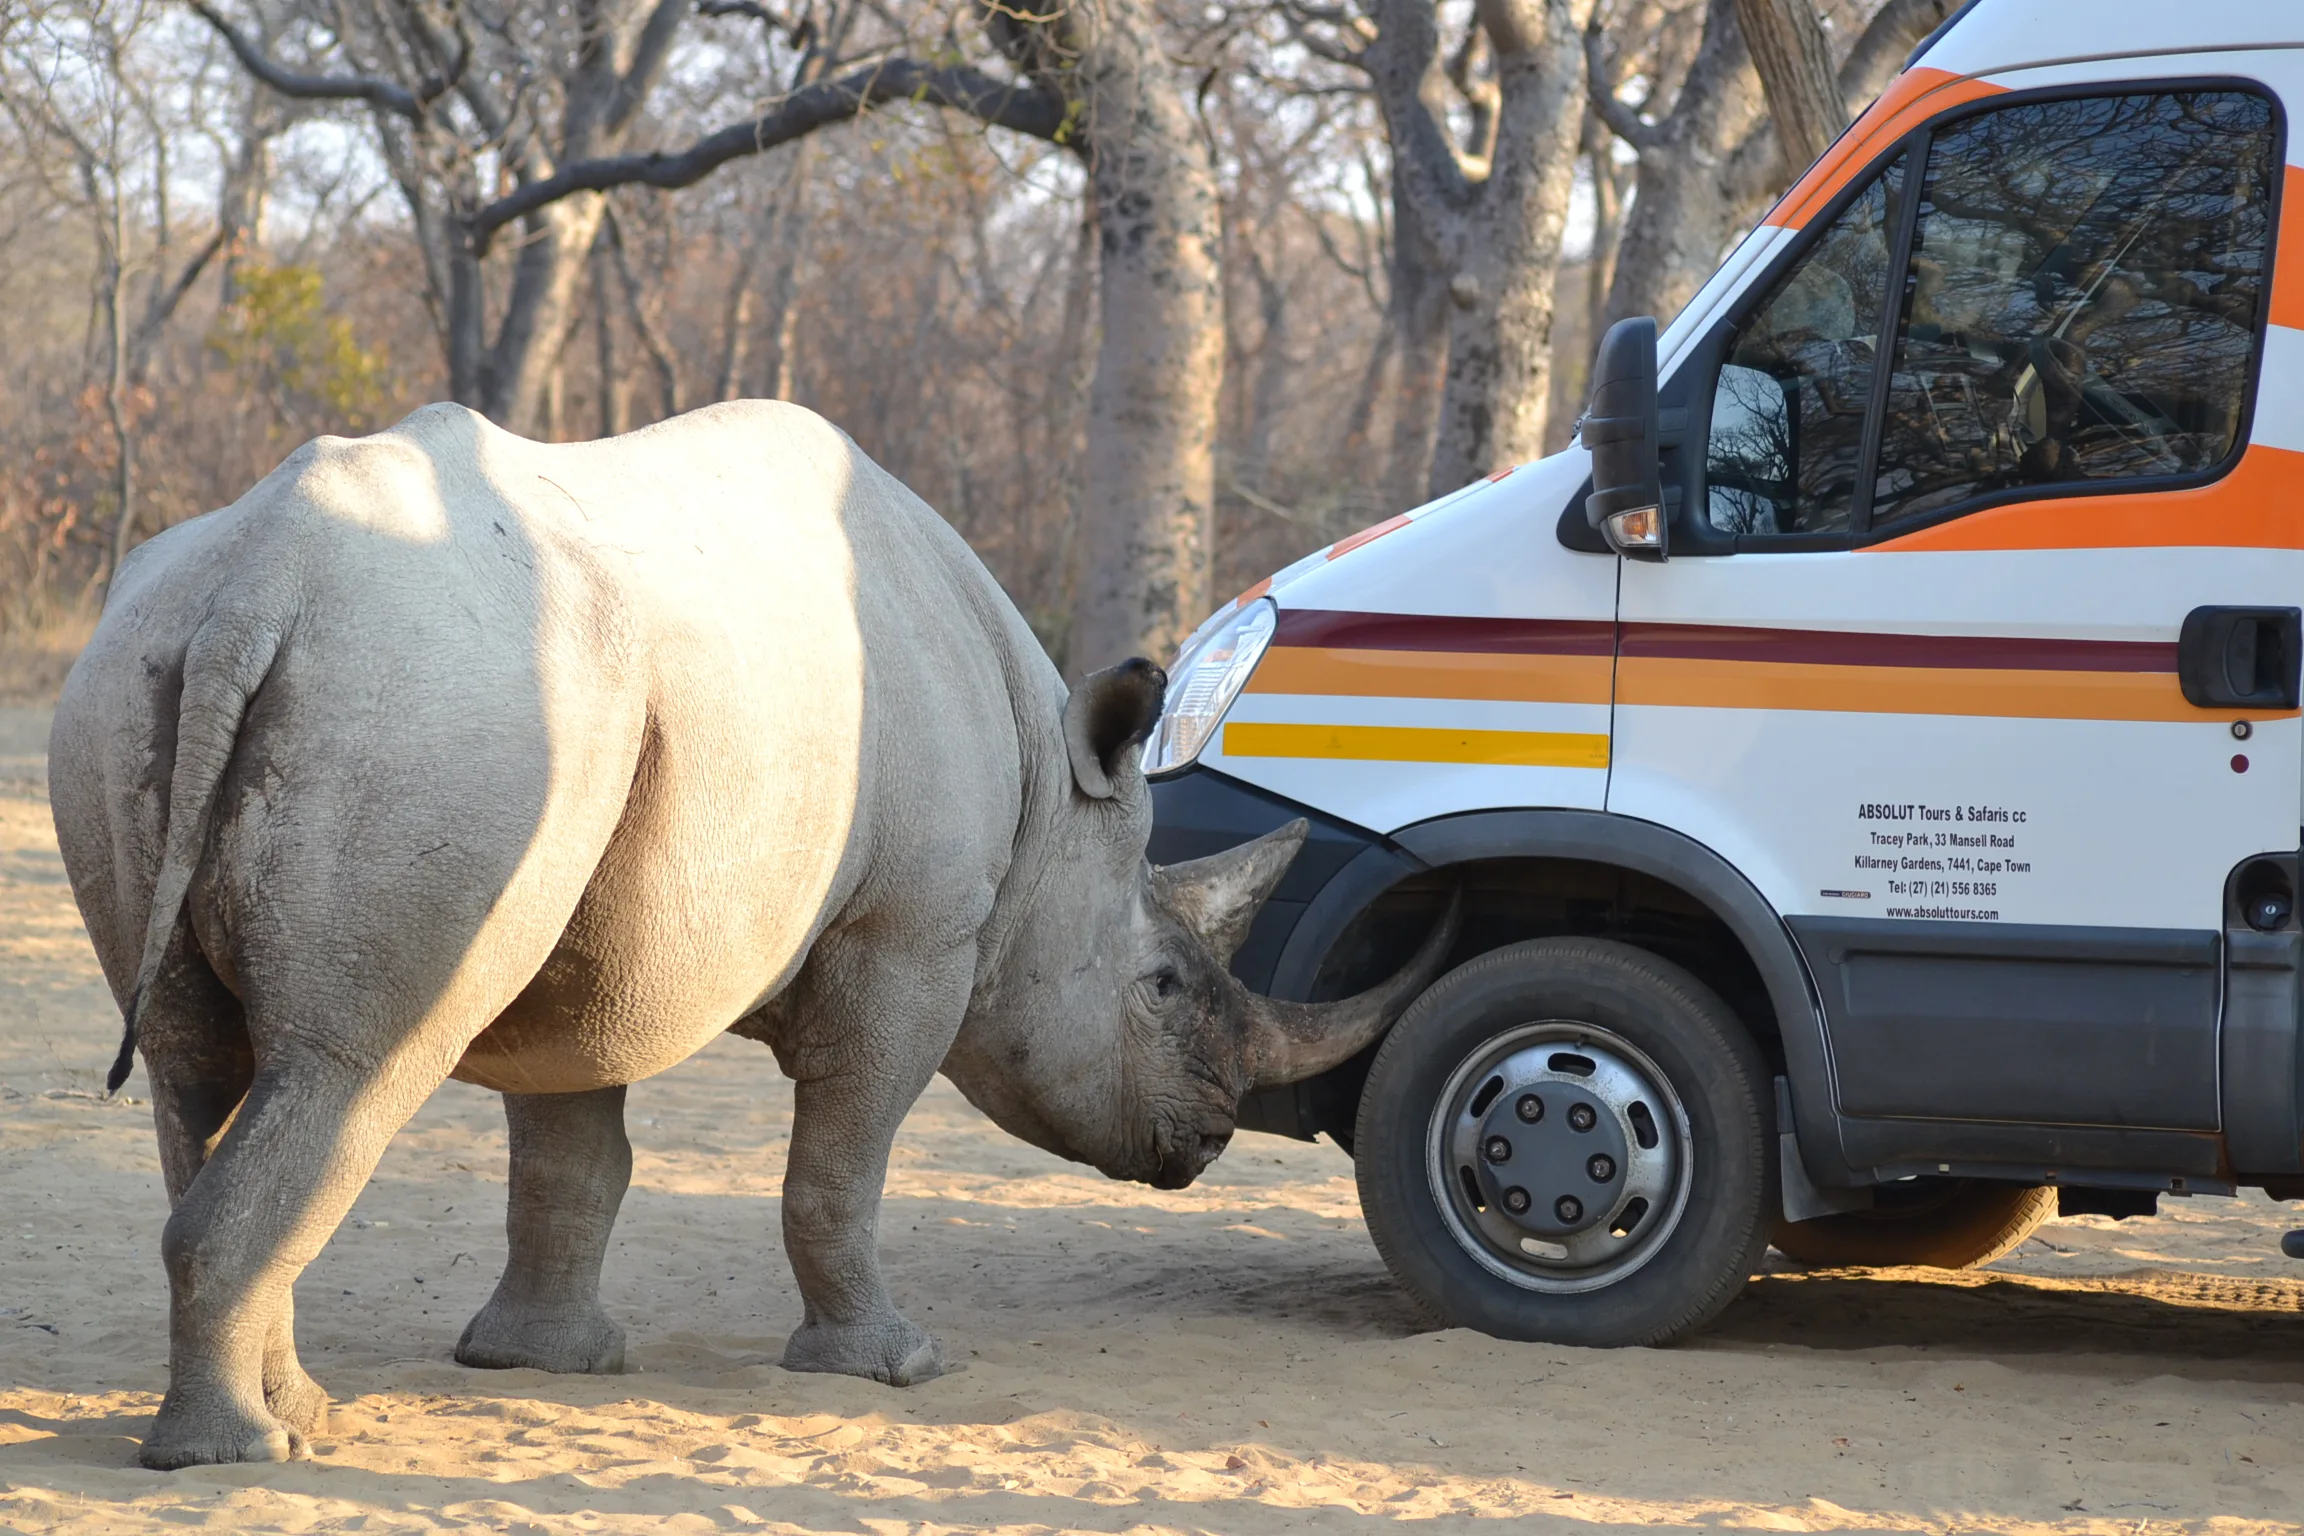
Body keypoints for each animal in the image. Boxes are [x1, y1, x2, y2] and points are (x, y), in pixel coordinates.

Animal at [49, 400, 1446, 1471]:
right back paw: (237, 1454)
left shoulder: (588, 926)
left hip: (154, 670)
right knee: (354, 1069)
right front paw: (896, 1367)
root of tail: (257, 584)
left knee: (196, 1072)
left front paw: (549, 1363)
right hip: (441, 700)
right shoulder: (912, 936)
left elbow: (573, 1159)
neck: (1049, 810)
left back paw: (301, 1419)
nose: (1206, 1141)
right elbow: (842, 1160)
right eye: (1158, 986)